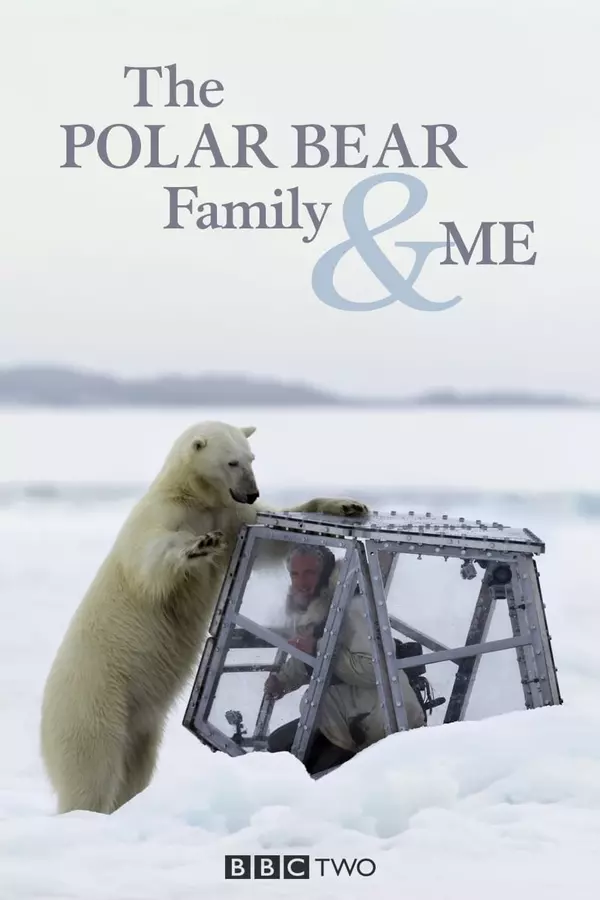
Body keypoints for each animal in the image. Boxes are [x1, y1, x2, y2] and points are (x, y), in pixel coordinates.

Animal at [40, 420, 369, 815]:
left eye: (251, 458)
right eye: (231, 462)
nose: (252, 492)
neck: (194, 496)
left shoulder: (230, 515)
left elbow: (273, 538)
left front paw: (346, 505)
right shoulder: (161, 517)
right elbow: (154, 559)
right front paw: (199, 545)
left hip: (140, 725)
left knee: (136, 768)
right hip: (94, 704)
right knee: (92, 772)